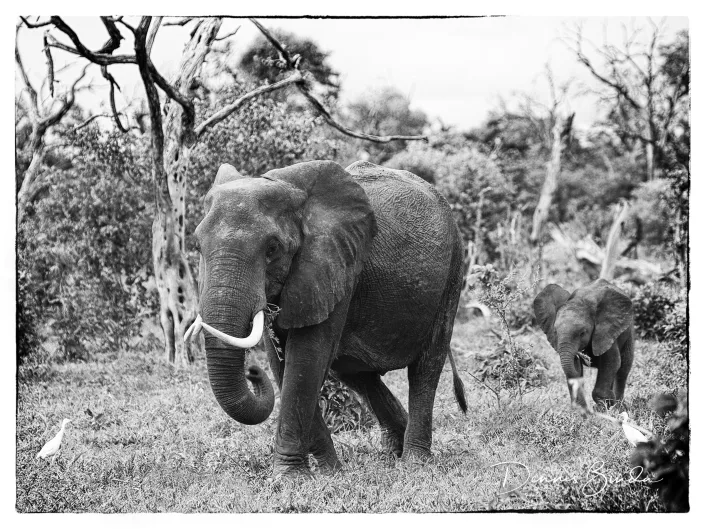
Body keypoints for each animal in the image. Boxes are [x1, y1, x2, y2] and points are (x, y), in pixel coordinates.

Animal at [186, 160, 468, 477]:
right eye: (197, 246)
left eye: (272, 249)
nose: (252, 372)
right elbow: (283, 364)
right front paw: (330, 472)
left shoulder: (337, 266)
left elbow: (305, 359)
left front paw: (289, 479)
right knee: (357, 374)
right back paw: (394, 451)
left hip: (453, 269)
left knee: (426, 367)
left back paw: (415, 462)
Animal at [533, 279, 635, 408]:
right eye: (555, 332)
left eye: (582, 333)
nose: (585, 357)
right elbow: (575, 366)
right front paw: (582, 409)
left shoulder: (606, 332)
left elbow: (612, 362)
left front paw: (605, 404)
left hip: (628, 331)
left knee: (624, 368)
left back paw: (619, 406)